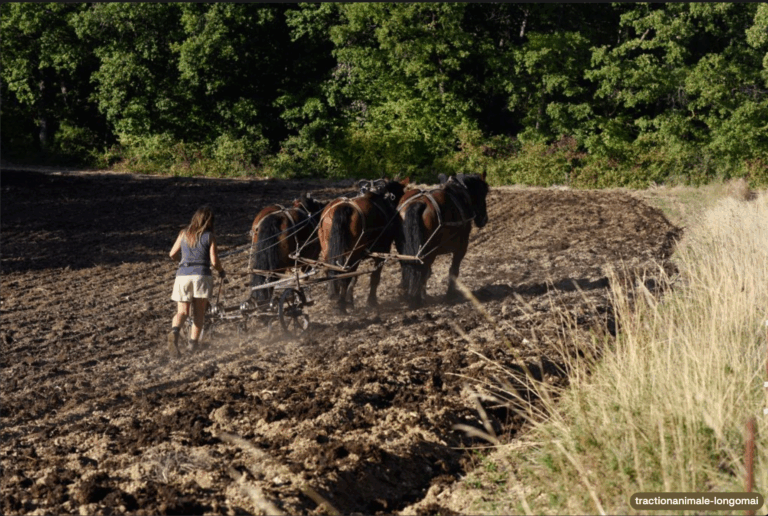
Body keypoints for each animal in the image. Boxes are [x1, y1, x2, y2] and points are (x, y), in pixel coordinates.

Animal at [318, 177, 410, 314]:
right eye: (401, 193)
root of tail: (344, 206)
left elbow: (354, 277)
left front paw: (350, 301)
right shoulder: (382, 251)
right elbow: (374, 276)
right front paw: (371, 301)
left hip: (328, 249)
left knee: (330, 269)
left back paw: (334, 296)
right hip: (353, 253)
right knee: (344, 275)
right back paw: (341, 305)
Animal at [395, 172, 489, 308]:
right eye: (484, 192)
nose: (484, 219)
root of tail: (419, 202)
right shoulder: (461, 248)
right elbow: (453, 271)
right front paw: (450, 295)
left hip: (404, 249)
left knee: (409, 267)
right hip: (429, 252)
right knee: (423, 270)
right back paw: (417, 299)